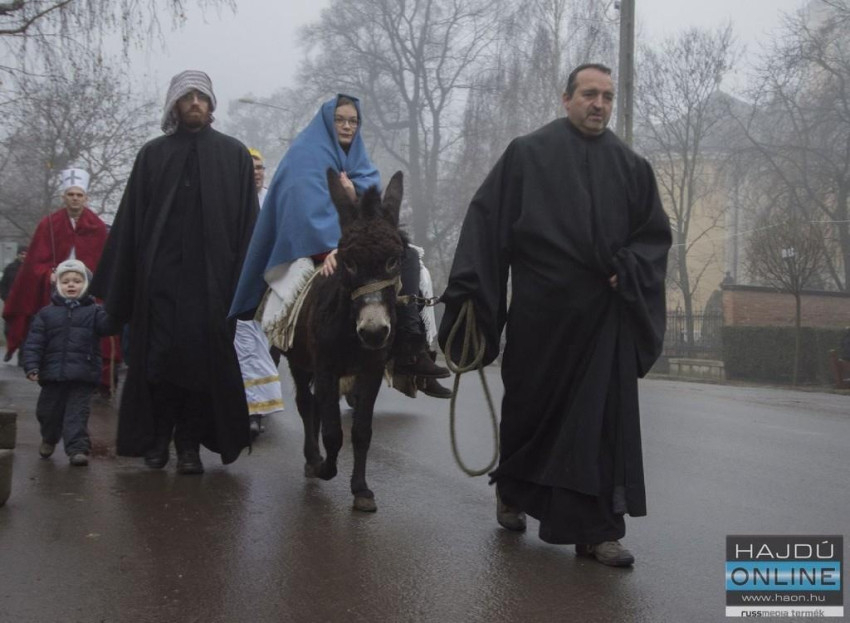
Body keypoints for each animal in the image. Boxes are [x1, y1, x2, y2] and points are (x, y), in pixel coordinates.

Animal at [284, 168, 406, 512]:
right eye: (348, 262)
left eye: (394, 259)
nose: (374, 331)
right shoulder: (326, 368)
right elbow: (333, 432)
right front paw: (325, 468)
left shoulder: (371, 370)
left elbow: (362, 431)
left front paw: (361, 490)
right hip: (299, 361)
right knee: (305, 402)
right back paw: (312, 459)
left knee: (312, 404)